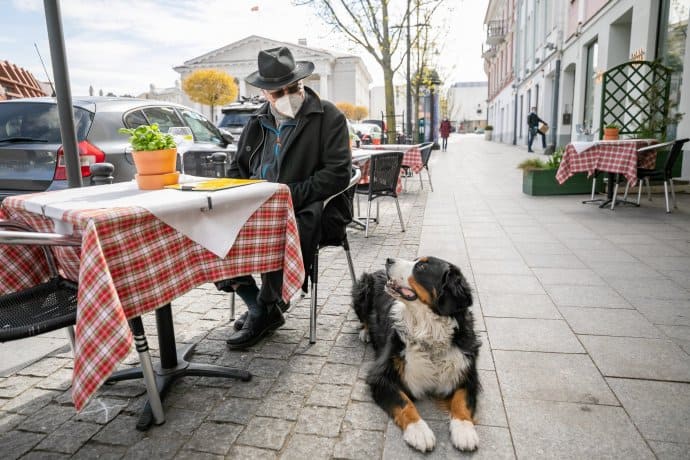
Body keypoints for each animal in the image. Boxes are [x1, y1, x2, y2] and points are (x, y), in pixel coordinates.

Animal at [350, 255, 478, 452]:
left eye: (422, 267)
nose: (388, 259)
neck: (429, 332)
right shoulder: (380, 375)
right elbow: (404, 403)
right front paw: (419, 431)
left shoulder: (467, 370)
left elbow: (461, 400)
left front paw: (464, 430)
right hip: (361, 289)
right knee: (363, 318)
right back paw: (365, 332)